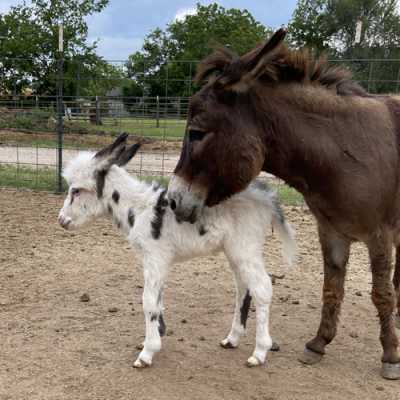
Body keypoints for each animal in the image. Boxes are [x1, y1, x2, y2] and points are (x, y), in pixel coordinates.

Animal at [59, 134, 296, 368]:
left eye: (76, 191)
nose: (61, 221)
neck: (139, 208)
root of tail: (265, 196)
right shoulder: (156, 261)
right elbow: (158, 299)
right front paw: (155, 336)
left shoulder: (155, 257)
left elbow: (148, 301)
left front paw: (147, 352)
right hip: (235, 251)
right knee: (244, 289)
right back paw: (232, 339)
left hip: (245, 248)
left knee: (262, 289)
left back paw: (260, 352)